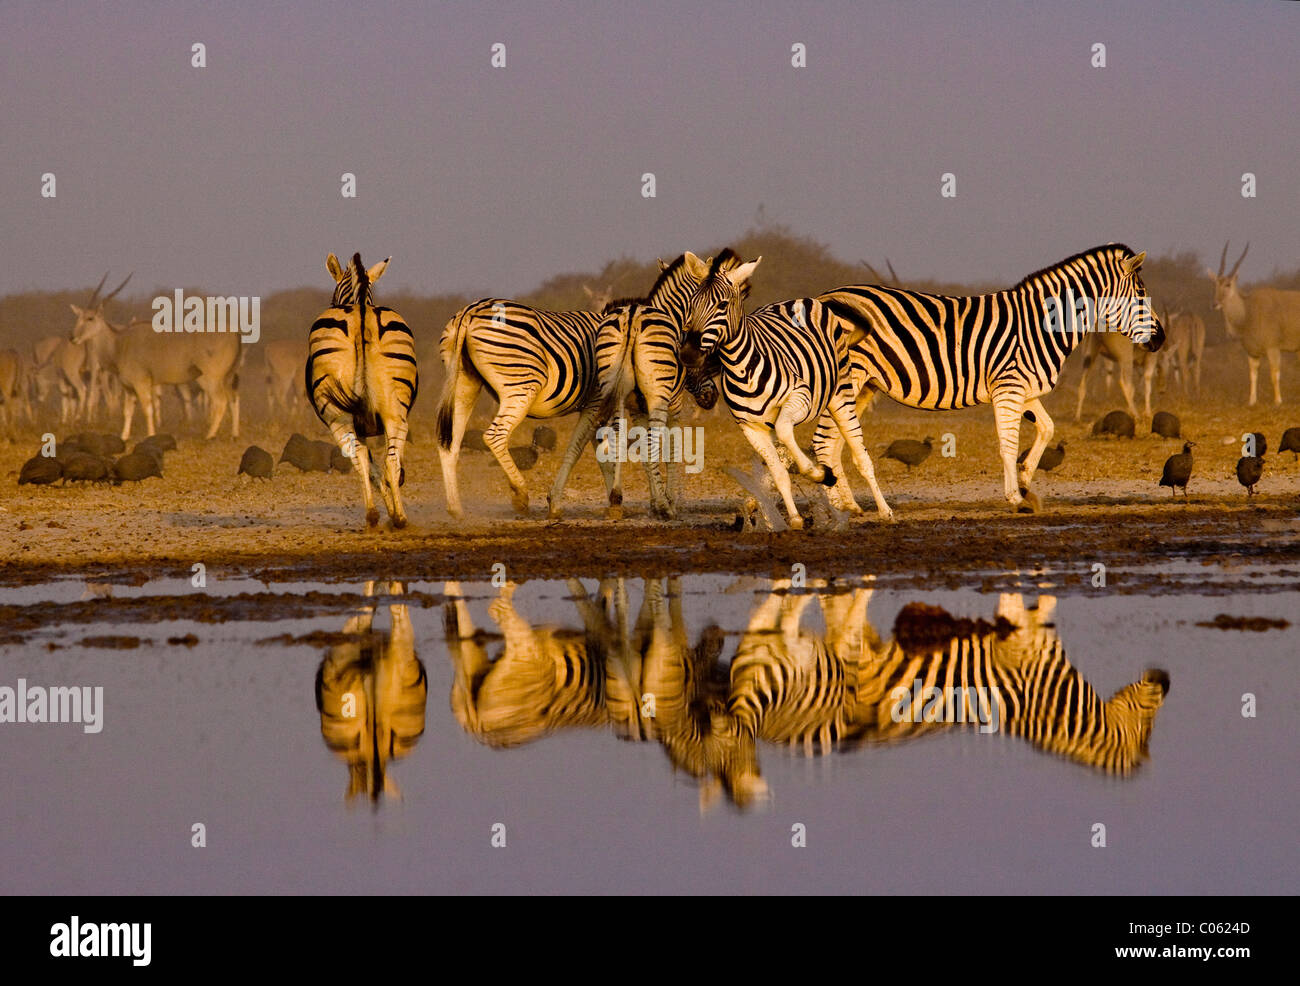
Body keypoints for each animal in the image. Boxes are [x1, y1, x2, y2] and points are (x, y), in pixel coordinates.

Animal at [304, 254, 416, 533]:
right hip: (392, 412)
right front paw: (391, 508)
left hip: (336, 415)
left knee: (362, 460)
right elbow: (380, 468)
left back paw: (379, 516)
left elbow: (371, 467)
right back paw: (396, 518)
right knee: (388, 462)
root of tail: (362, 313)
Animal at [543, 251, 733, 520]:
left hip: (610, 390)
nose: (711, 397)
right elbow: (670, 450)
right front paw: (667, 501)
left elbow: (644, 450)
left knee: (594, 439)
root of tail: (632, 316)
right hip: (656, 396)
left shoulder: (636, 407)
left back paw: (599, 500)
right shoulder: (673, 405)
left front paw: (655, 500)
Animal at [681, 254, 894, 533]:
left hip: (841, 395)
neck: (742, 369)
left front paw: (818, 473)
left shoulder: (799, 397)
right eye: (691, 305)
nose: (688, 355)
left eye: (722, 304)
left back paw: (885, 512)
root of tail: (803, 300)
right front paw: (794, 519)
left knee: (860, 454)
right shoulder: (750, 427)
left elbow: (786, 433)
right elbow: (779, 472)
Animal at [816, 244, 1164, 512]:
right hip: (848, 382)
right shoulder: (1008, 388)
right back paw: (843, 507)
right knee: (824, 442)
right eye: (1141, 294)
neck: (1040, 324)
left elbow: (1047, 428)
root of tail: (824, 296)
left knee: (833, 443)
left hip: (864, 386)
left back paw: (848, 505)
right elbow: (1008, 444)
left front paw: (1025, 483)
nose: (1161, 339)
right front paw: (1015, 497)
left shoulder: (1025, 391)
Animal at [1206, 243, 1300, 408]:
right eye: (1215, 284)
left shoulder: (1273, 348)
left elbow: (1274, 374)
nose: (1215, 304)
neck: (1248, 311)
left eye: (1228, 284)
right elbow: (1253, 375)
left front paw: (1278, 401)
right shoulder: (1252, 353)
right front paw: (1251, 401)